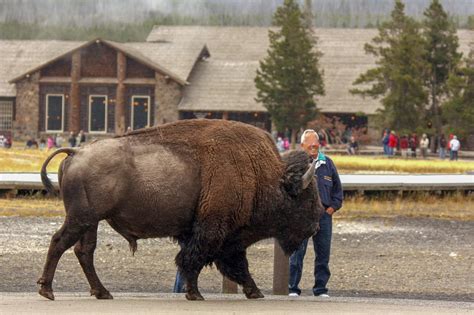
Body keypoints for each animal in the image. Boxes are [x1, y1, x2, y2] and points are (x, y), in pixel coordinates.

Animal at [39, 119, 324, 302]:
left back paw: (102, 292)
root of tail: (76, 152)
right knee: (59, 242)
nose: (316, 225)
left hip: (91, 222)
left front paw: (255, 292)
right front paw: (195, 294)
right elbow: (196, 259)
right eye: (307, 198)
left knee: (84, 251)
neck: (261, 175)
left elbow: (233, 264)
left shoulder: (221, 236)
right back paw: (47, 290)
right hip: (81, 218)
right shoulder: (213, 230)